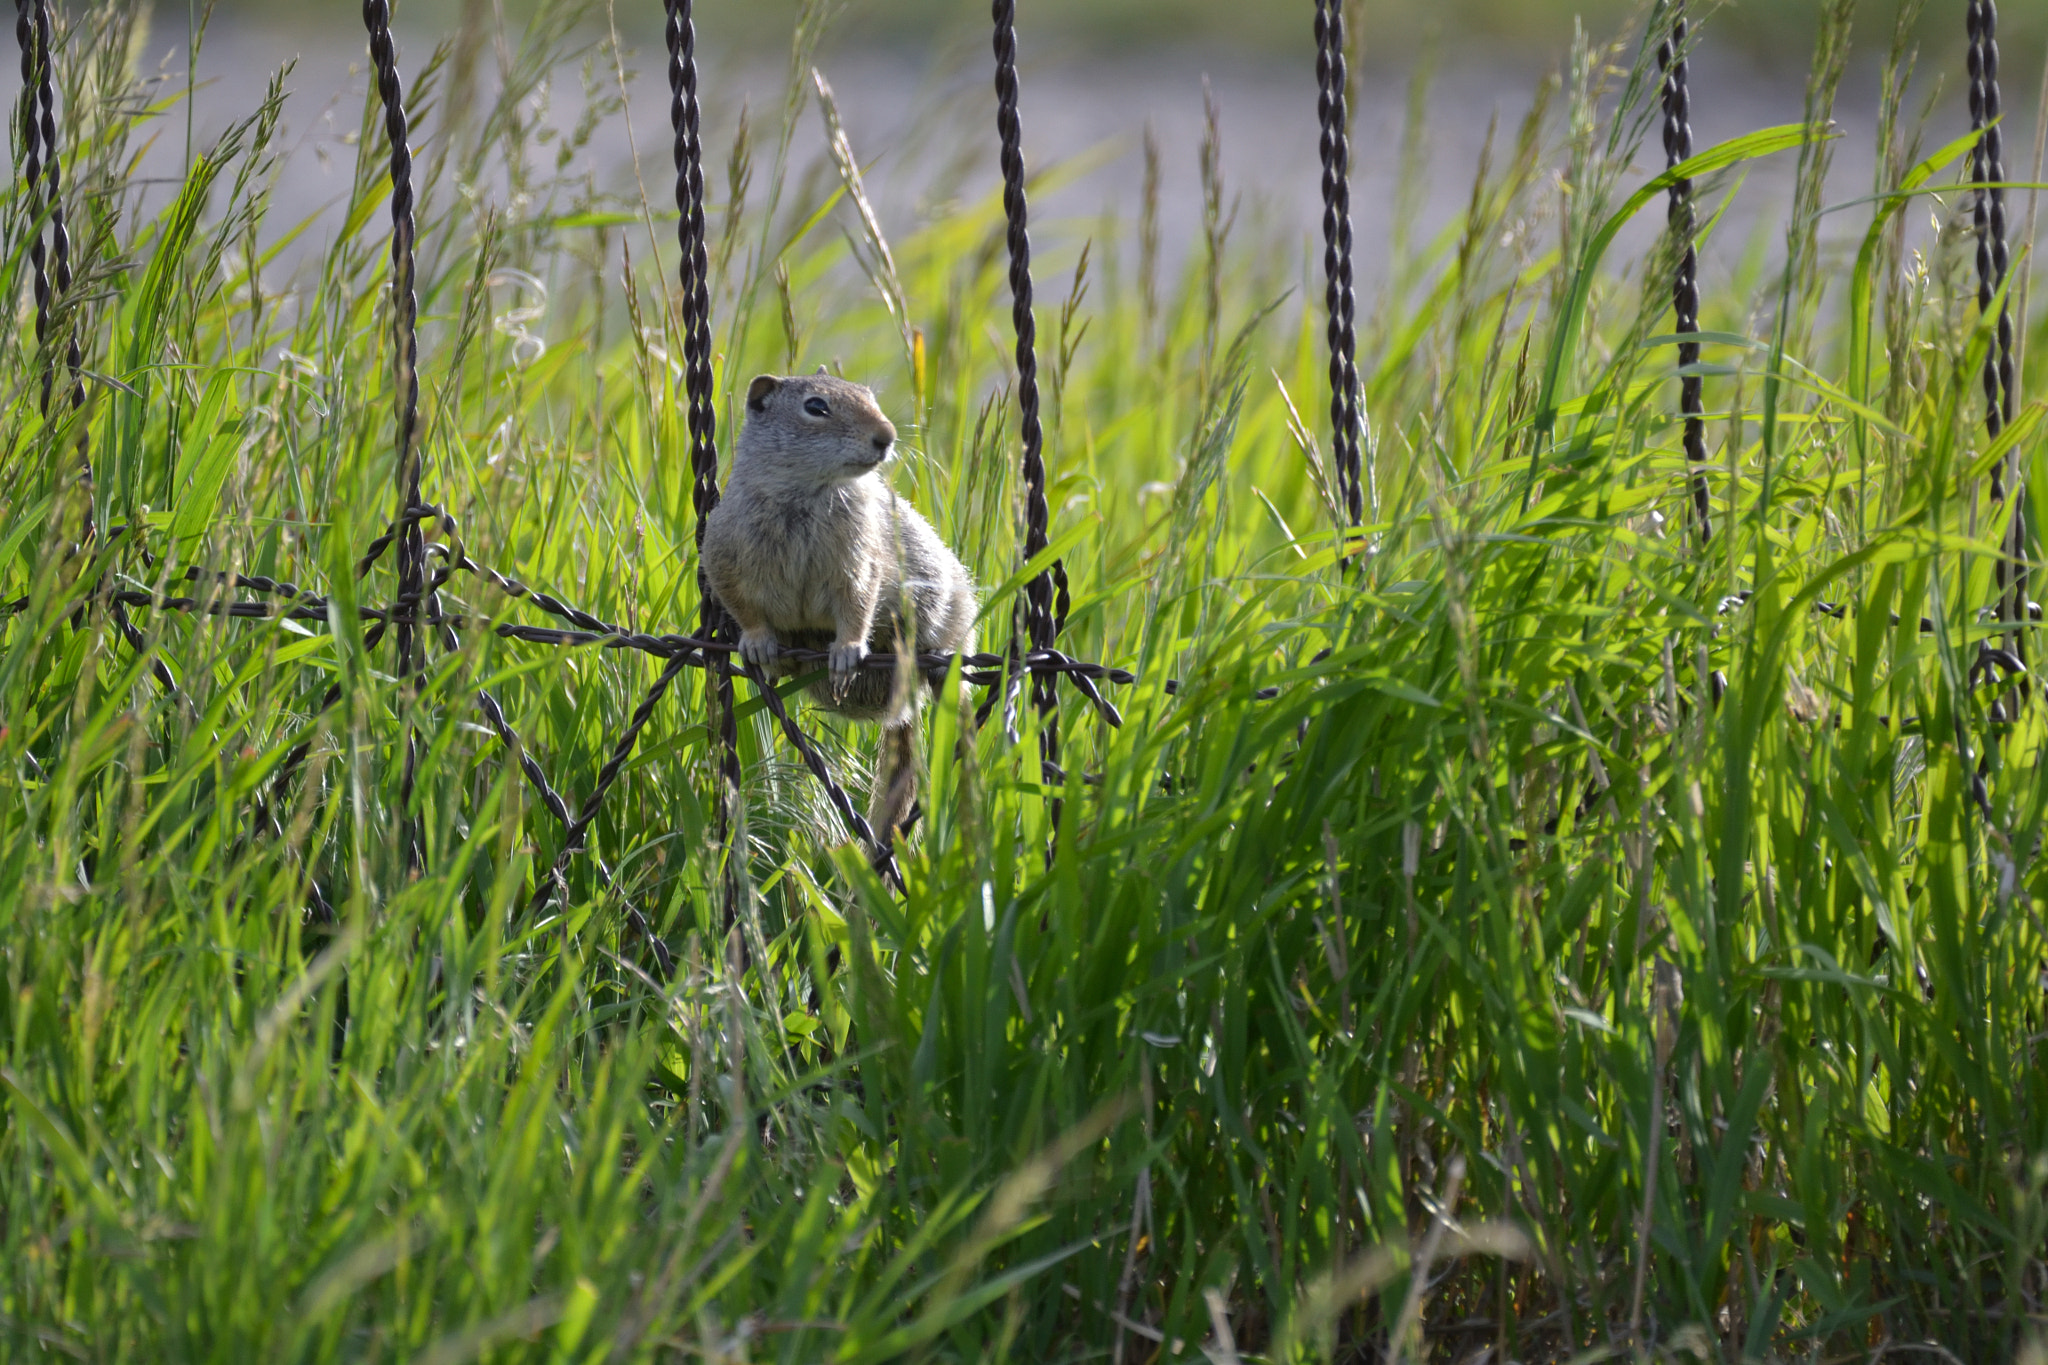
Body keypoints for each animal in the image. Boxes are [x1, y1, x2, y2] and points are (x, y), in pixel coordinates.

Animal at [700, 371, 977, 847]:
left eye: (869, 396)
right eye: (816, 406)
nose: (886, 435)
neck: (806, 493)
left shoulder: (859, 558)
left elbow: (858, 604)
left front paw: (847, 651)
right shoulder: (722, 551)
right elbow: (741, 604)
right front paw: (759, 644)